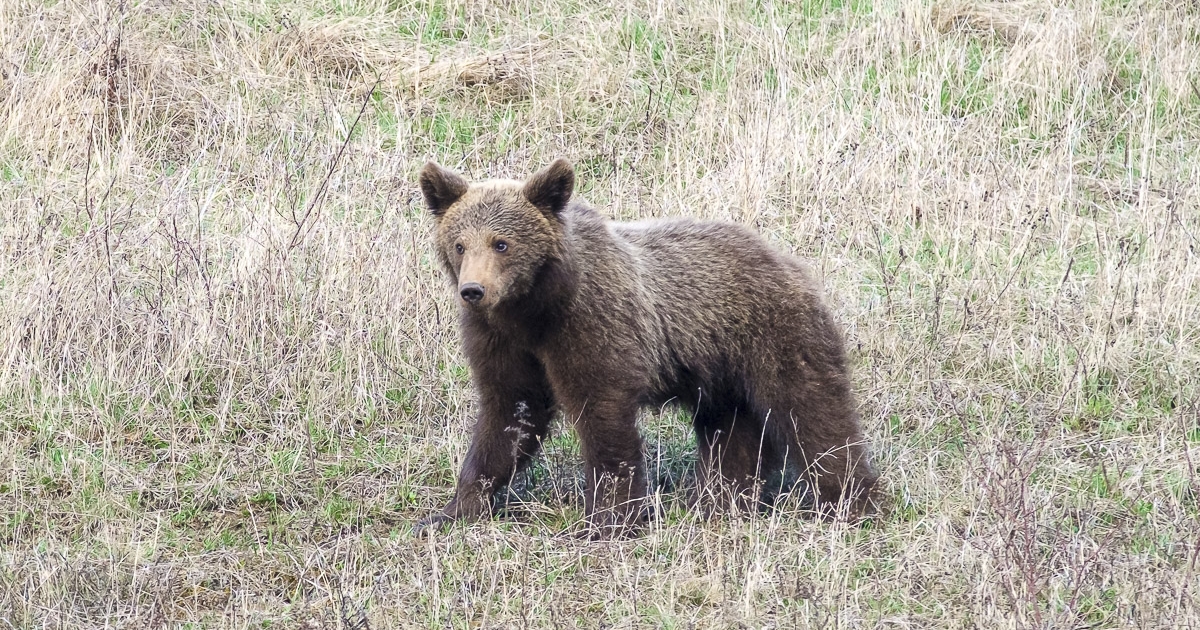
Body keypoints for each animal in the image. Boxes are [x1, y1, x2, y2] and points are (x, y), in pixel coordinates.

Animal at [417, 157, 878, 535]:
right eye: (459, 244)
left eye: (502, 243)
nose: (473, 290)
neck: (534, 309)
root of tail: (786, 258)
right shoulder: (502, 341)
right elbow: (510, 414)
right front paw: (453, 510)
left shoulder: (590, 324)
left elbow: (602, 416)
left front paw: (608, 518)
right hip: (719, 367)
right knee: (731, 430)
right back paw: (719, 500)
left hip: (773, 334)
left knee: (813, 410)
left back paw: (850, 501)